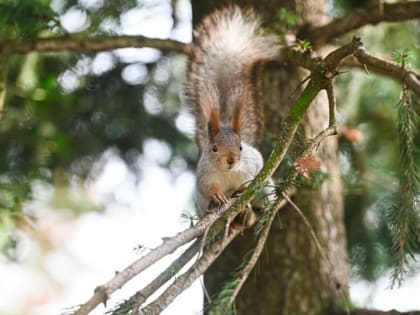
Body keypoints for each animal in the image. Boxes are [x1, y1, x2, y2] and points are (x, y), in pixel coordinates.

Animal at [185, 7, 278, 214]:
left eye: (241, 146)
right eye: (214, 148)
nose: (231, 160)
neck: (227, 173)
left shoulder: (253, 162)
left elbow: (258, 168)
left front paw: (244, 187)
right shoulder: (204, 176)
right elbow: (208, 188)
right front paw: (217, 195)